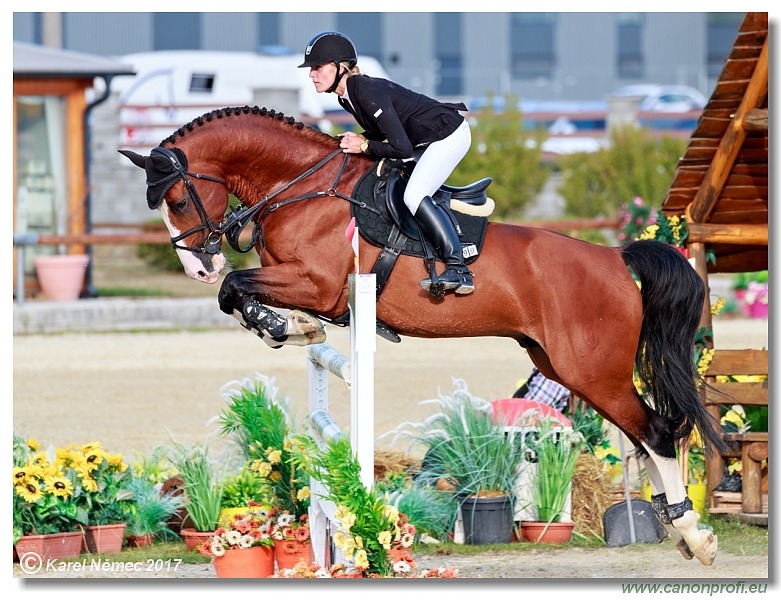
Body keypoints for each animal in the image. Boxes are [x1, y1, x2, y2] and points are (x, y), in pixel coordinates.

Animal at [120, 105, 724, 564]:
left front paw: (283, 325)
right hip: (560, 366)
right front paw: (288, 327)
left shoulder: (319, 284)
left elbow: (236, 288)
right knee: (645, 435)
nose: (198, 268)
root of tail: (616, 258)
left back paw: (694, 535)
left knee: (658, 431)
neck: (303, 188)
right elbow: (238, 293)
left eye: (178, 200)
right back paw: (676, 528)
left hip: (591, 370)